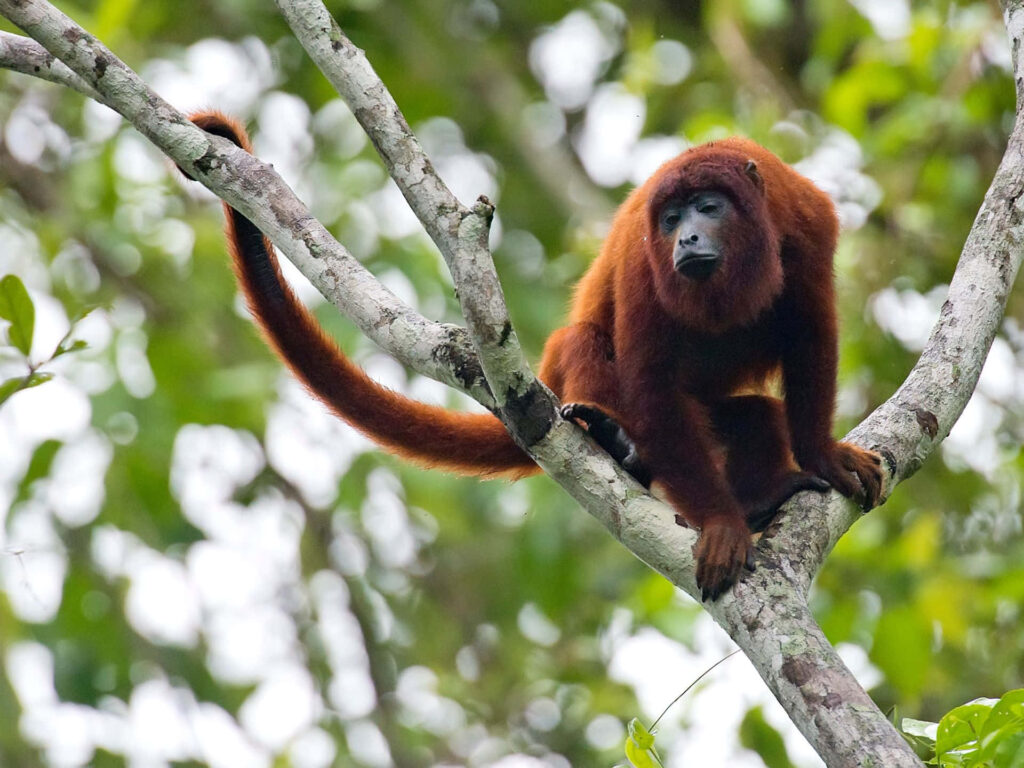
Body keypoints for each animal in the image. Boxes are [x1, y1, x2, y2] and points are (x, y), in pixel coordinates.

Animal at [181, 112, 883, 601]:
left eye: (708, 209)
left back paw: (759, 494)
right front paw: (721, 524)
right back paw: (614, 440)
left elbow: (813, 335)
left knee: (758, 414)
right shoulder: (640, 259)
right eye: (670, 219)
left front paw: (822, 457)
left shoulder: (808, 223)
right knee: (585, 345)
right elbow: (648, 375)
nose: (686, 237)